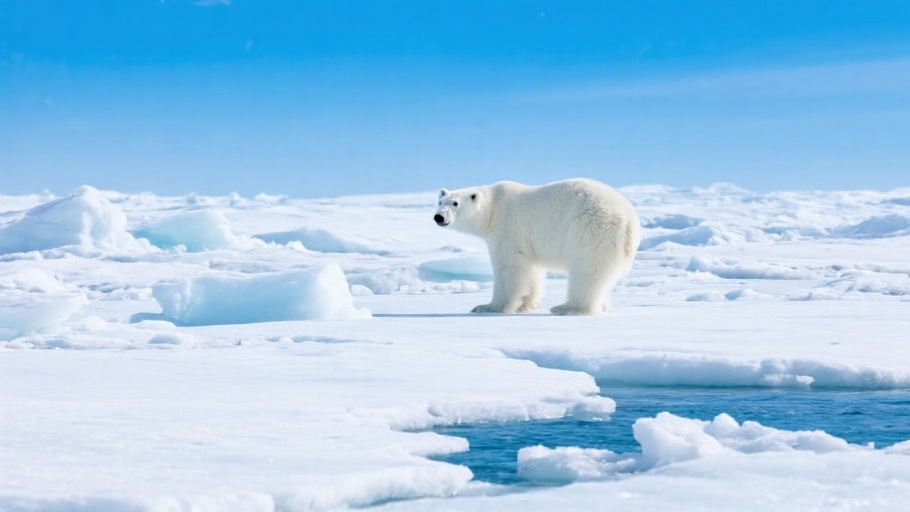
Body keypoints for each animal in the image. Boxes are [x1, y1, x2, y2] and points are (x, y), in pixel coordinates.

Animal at [434, 178, 640, 316]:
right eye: (440, 202)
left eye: (455, 203)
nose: (439, 217)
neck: (493, 208)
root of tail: (629, 217)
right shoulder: (525, 240)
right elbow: (530, 269)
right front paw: (526, 305)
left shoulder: (507, 228)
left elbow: (509, 267)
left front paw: (488, 307)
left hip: (590, 226)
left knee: (587, 268)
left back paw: (567, 308)